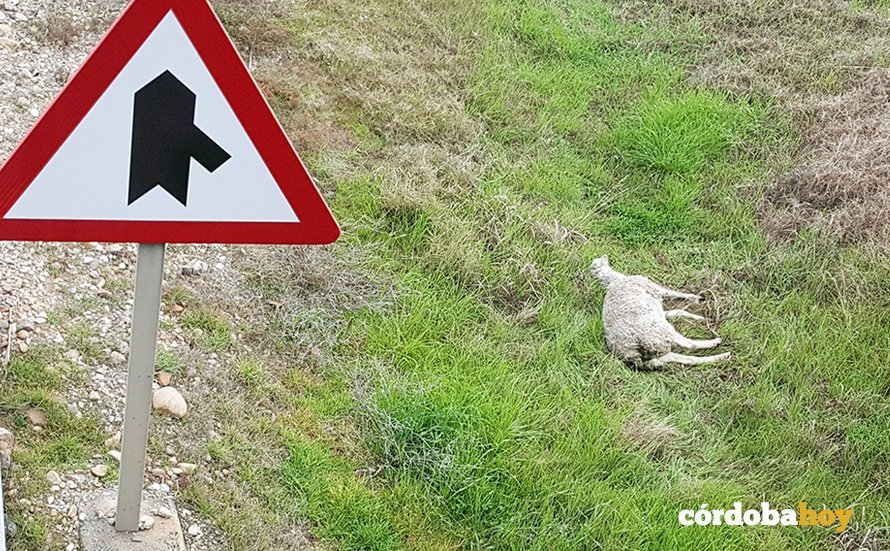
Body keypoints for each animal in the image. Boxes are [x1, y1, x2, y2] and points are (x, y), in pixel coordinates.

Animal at [590, 256, 730, 369]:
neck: (614, 280)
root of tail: (632, 353)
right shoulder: (655, 289)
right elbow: (671, 293)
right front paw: (694, 298)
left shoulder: (660, 311)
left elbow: (676, 311)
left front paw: (698, 317)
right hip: (660, 332)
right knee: (689, 344)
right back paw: (716, 342)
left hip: (658, 348)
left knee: (685, 358)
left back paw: (721, 357)